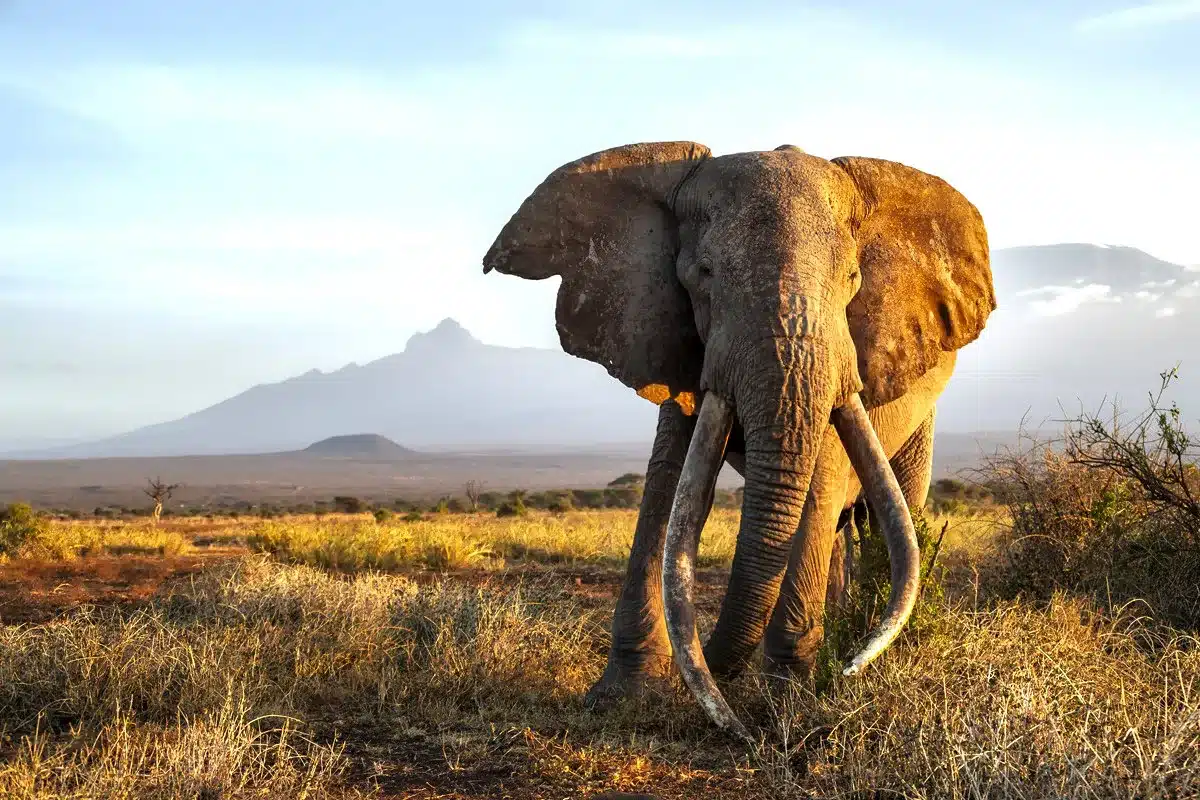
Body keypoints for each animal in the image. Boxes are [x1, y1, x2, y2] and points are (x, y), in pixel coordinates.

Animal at [482, 141, 995, 736]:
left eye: (852, 278)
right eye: (702, 275)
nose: (739, 721)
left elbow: (817, 483)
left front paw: (789, 706)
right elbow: (670, 485)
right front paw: (621, 698)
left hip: (922, 409)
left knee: (888, 508)